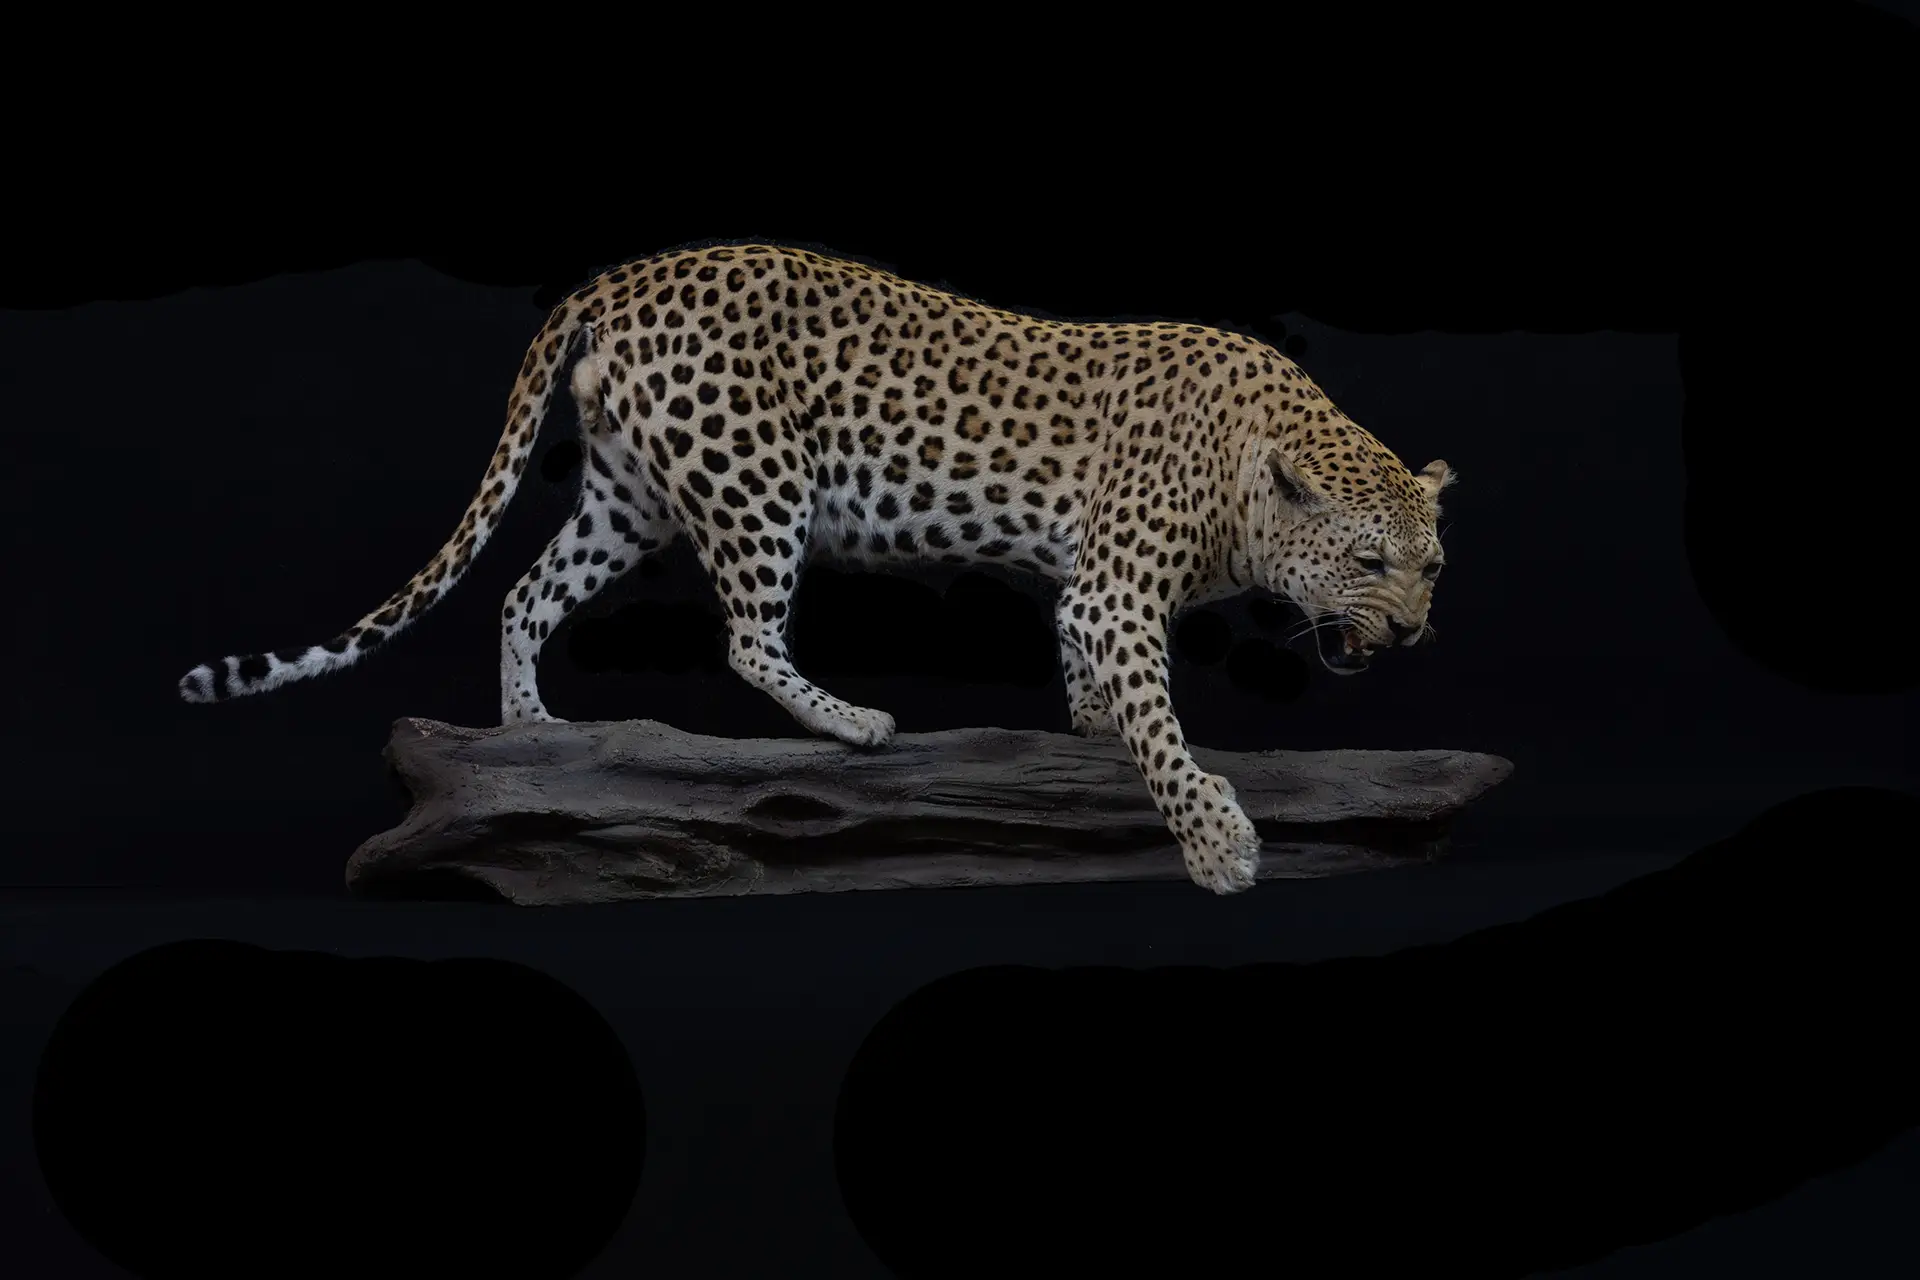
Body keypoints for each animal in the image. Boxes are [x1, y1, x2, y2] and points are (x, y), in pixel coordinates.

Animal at [179, 241, 1454, 895]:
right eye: (1368, 559)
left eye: (1432, 568)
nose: (1409, 633)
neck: (1251, 476)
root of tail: (619, 277)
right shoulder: (1114, 587)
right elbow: (1160, 723)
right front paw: (1216, 842)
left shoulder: (1092, 589)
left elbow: (1095, 676)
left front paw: (1090, 723)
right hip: (756, 477)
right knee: (747, 634)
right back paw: (850, 723)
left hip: (630, 494)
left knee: (525, 592)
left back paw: (533, 733)